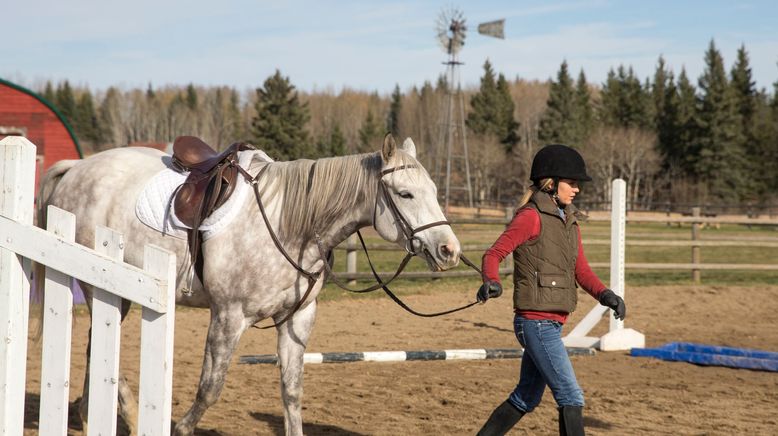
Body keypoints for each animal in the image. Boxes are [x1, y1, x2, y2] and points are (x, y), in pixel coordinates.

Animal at [38, 135, 460, 434]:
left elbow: (291, 391)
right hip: (103, 287)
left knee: (95, 345)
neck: (292, 224)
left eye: (435, 192)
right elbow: (210, 388)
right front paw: (180, 428)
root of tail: (78, 167)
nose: (449, 250)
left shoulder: (296, 320)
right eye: (405, 193)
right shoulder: (228, 317)